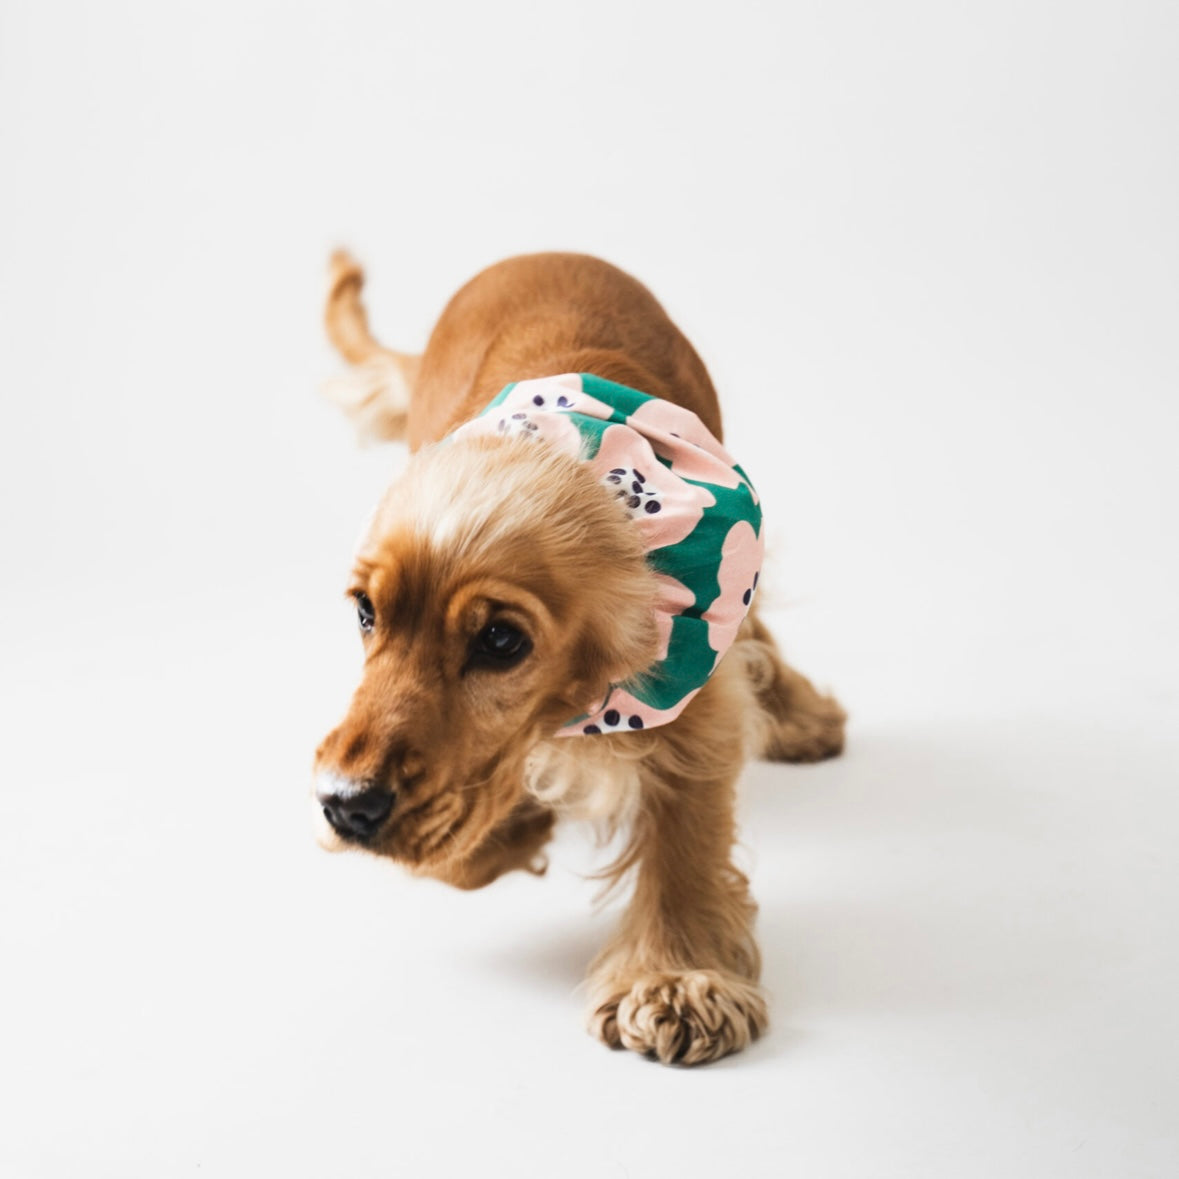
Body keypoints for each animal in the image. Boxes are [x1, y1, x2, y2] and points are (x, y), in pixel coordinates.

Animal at [313, 251, 848, 1070]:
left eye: (502, 641)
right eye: (365, 612)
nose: (344, 804)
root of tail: (539, 255)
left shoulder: (696, 668)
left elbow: (687, 826)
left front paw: (676, 978)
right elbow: (457, 847)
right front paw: (516, 828)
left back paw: (803, 718)